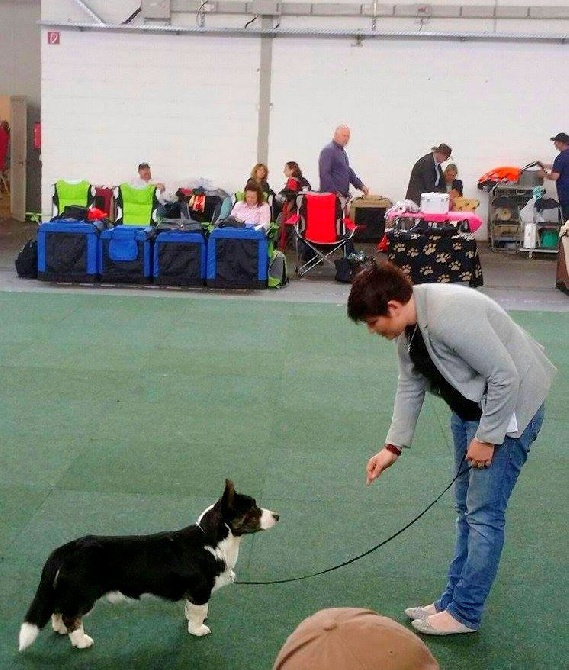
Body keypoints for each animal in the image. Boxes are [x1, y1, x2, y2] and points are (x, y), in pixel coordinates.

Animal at [20, 480, 280, 652]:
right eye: (252, 509)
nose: (277, 515)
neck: (211, 540)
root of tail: (69, 547)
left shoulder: (192, 594)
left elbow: (190, 610)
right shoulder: (200, 592)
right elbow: (199, 613)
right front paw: (198, 630)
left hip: (68, 591)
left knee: (57, 609)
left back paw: (60, 630)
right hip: (83, 594)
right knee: (71, 616)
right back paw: (81, 641)